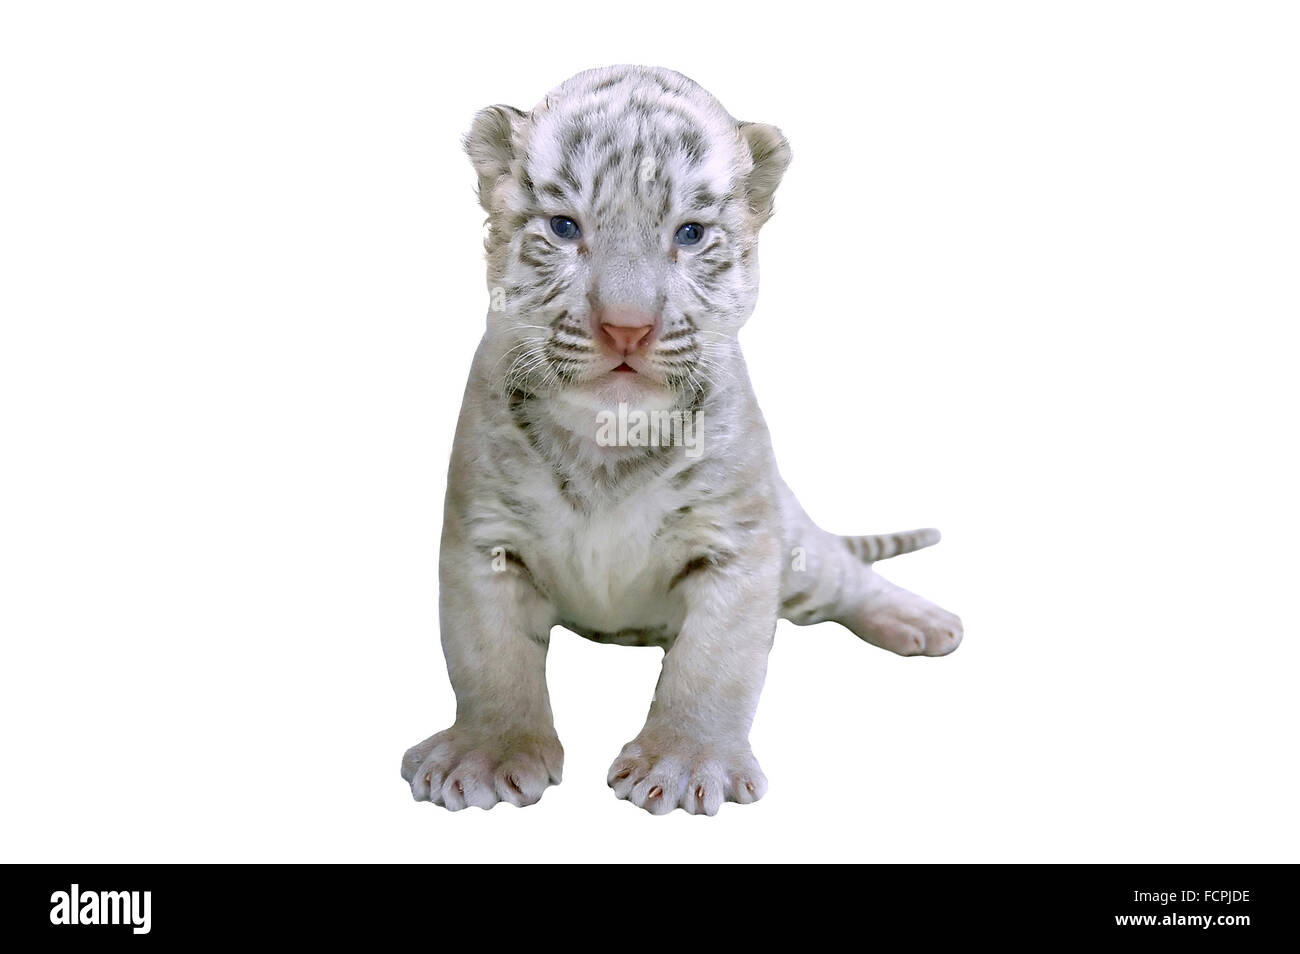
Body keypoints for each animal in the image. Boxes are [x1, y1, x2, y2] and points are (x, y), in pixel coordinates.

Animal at [401, 65, 962, 815]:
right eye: (563, 227)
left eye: (690, 233)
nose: (627, 327)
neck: (608, 440)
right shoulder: (482, 540)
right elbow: (488, 659)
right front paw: (485, 755)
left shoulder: (740, 543)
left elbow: (713, 666)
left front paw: (685, 764)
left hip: (803, 556)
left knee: (853, 579)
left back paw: (924, 625)